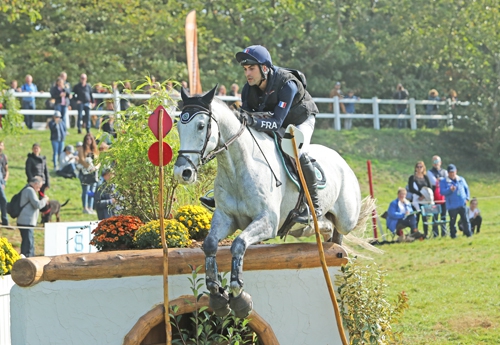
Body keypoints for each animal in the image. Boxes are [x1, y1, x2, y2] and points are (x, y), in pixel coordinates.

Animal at [174, 85, 374, 318]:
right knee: (326, 229)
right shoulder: (226, 218)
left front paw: (239, 296)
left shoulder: (267, 222)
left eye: (200, 126)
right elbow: (210, 244)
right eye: (178, 126)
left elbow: (238, 244)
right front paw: (217, 295)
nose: (182, 172)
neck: (237, 167)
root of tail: (342, 160)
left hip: (346, 218)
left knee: (338, 230)